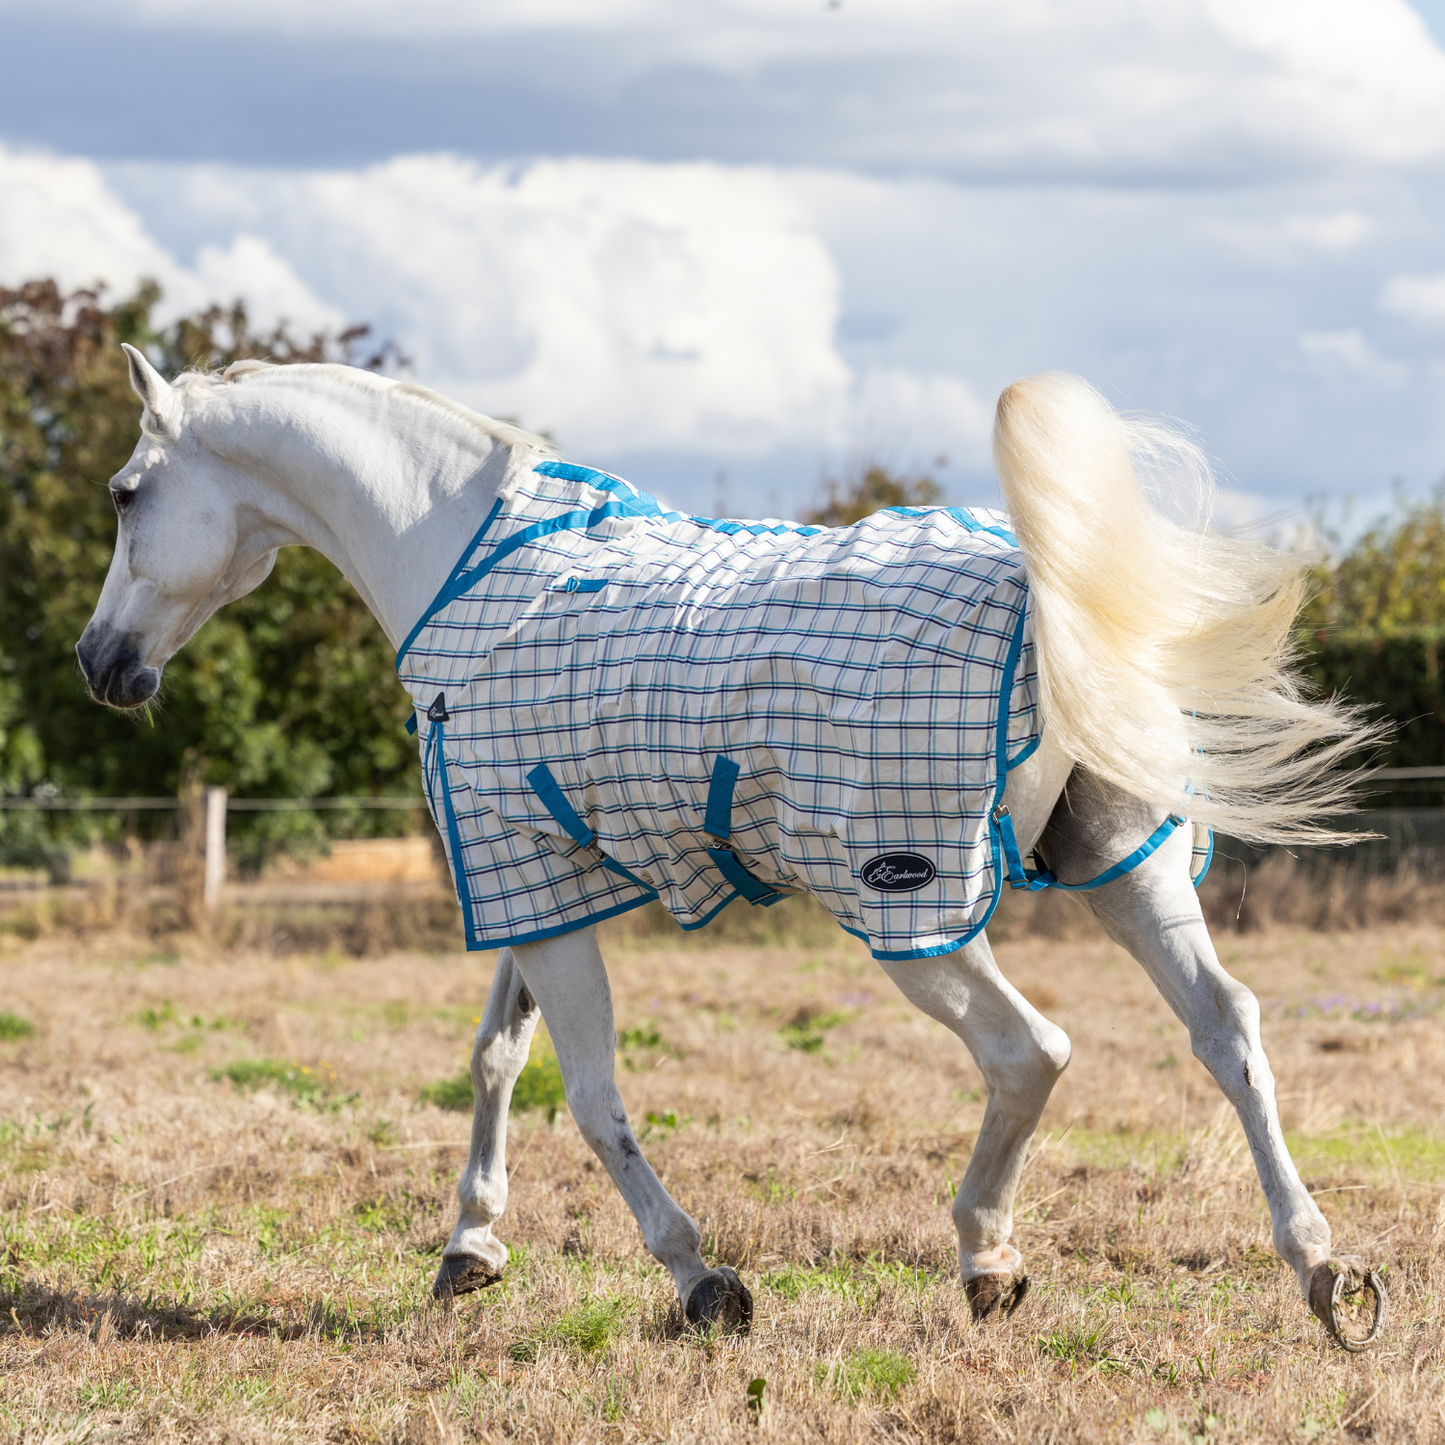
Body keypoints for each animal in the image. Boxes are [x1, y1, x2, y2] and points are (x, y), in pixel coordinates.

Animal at [79, 349, 1387, 1352]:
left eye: (127, 492)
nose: (101, 665)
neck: (469, 569)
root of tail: (1042, 593)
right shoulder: (533, 880)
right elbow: (498, 1056)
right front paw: (469, 1246)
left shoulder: (521, 869)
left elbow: (591, 1094)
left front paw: (700, 1279)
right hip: (1126, 869)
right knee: (1225, 1029)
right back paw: (1324, 1273)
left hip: (912, 912)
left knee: (1031, 1052)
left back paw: (986, 1258)